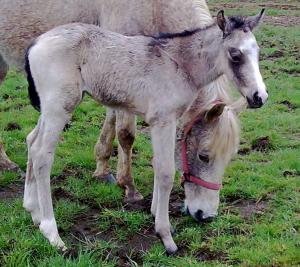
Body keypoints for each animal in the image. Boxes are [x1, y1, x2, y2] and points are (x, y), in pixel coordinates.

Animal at [24, 10, 268, 254]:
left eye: (257, 52)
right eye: (235, 55)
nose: (260, 97)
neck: (179, 64)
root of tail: (37, 42)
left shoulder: (161, 122)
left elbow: (157, 165)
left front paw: (154, 214)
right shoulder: (163, 120)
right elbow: (166, 173)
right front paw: (165, 235)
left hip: (49, 109)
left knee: (32, 142)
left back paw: (33, 211)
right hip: (59, 108)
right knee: (42, 156)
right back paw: (52, 233)